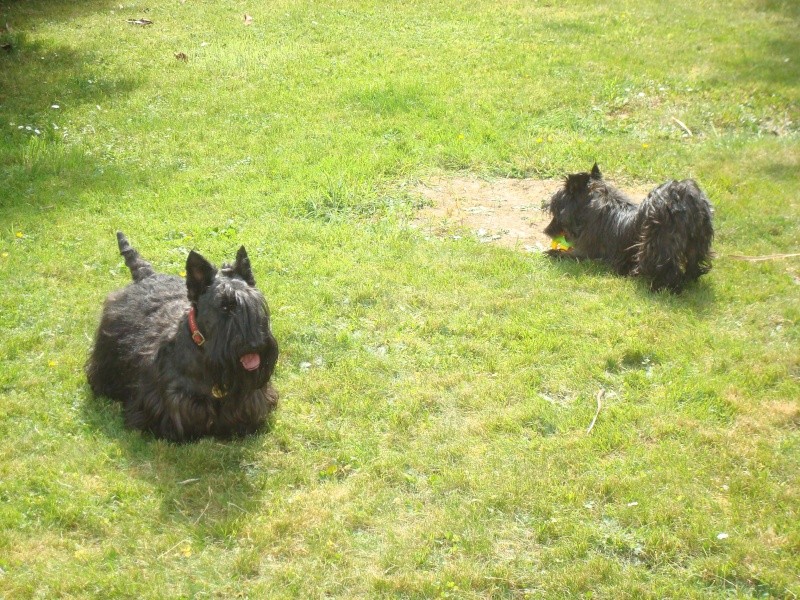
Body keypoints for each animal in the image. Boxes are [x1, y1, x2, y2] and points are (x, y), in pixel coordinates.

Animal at [544, 164, 712, 292]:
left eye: (555, 208)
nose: (546, 231)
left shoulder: (588, 253)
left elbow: (566, 254)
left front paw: (552, 253)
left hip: (655, 245)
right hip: (697, 244)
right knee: (693, 266)